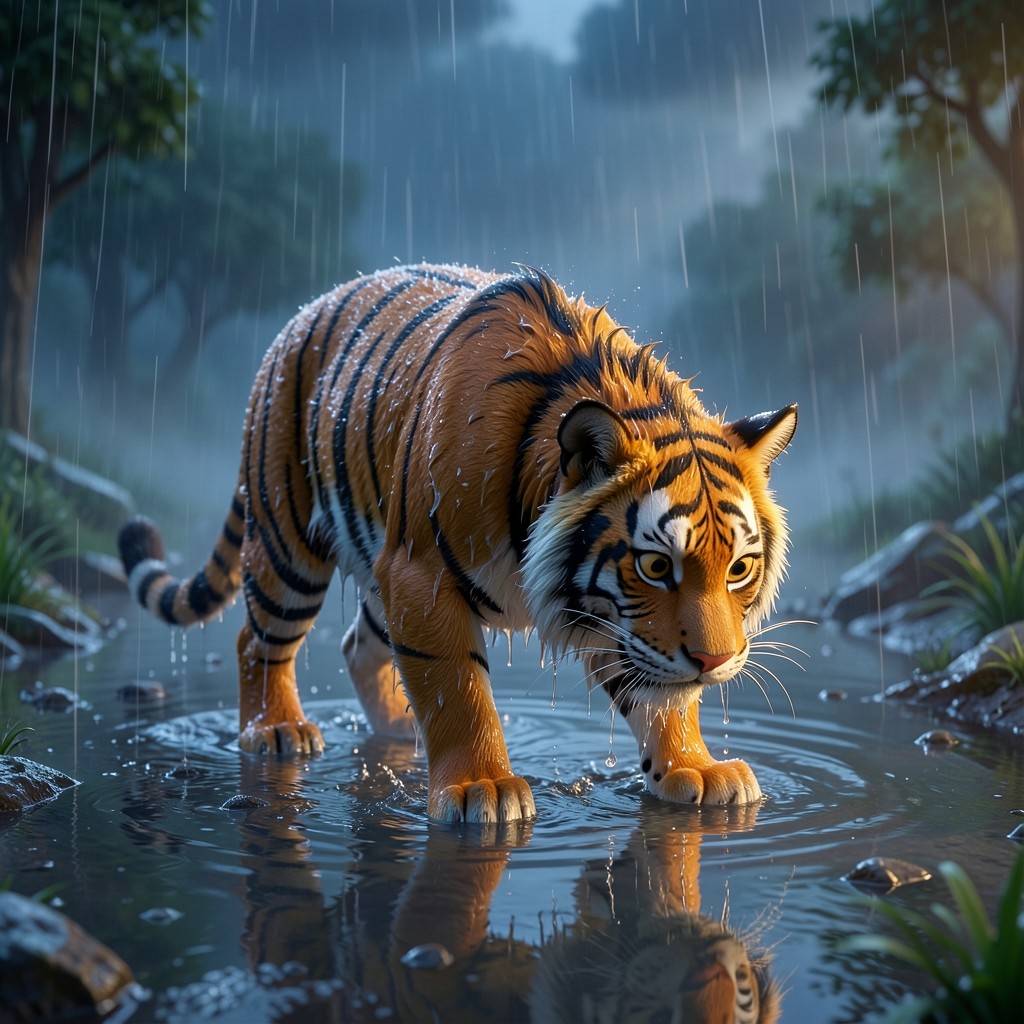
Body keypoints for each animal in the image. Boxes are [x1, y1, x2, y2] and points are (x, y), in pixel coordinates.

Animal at [118, 262, 797, 823]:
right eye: (656, 566)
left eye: (738, 569)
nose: (713, 663)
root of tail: (303, 313)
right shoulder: (422, 576)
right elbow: (458, 690)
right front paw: (481, 789)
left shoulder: (615, 620)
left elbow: (661, 697)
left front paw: (697, 770)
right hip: (291, 541)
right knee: (256, 640)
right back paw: (278, 730)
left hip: (376, 563)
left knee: (357, 646)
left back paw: (397, 730)